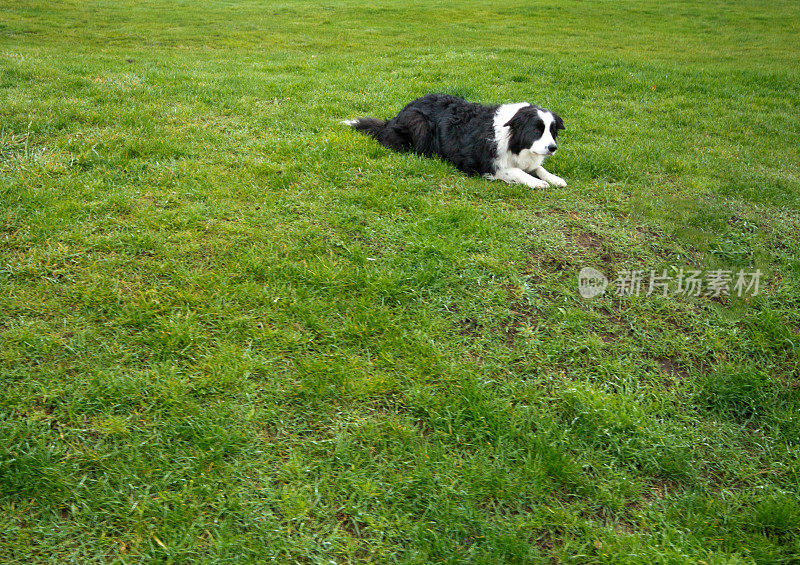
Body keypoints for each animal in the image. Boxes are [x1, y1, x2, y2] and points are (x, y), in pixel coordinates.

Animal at [340, 93, 564, 189]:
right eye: (535, 130)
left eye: (551, 131)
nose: (552, 148)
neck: (511, 138)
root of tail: (393, 119)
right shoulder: (484, 165)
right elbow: (516, 171)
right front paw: (538, 183)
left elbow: (538, 167)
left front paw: (554, 178)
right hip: (420, 124)